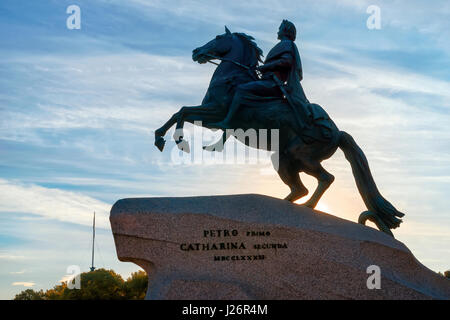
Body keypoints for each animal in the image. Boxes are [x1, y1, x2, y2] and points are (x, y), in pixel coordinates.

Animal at [154, 27, 404, 236]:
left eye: (217, 37)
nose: (196, 52)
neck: (234, 77)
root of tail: (337, 132)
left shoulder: (216, 113)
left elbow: (183, 111)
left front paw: (178, 141)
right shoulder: (209, 116)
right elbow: (180, 112)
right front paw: (161, 138)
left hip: (301, 156)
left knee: (325, 179)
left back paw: (307, 207)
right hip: (283, 159)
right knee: (300, 188)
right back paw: (285, 206)